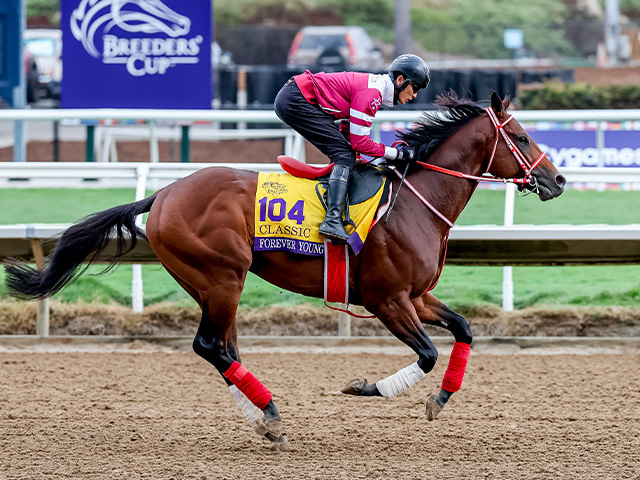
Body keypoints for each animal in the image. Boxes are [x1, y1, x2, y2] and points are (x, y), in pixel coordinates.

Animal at [5, 93, 564, 450]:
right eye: (520, 136)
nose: (557, 180)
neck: (413, 201)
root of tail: (162, 193)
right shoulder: (387, 299)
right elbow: (426, 354)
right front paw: (364, 388)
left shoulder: (418, 296)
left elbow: (464, 329)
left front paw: (441, 399)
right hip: (222, 276)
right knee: (210, 346)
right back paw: (270, 413)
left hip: (209, 283)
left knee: (223, 348)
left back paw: (263, 419)